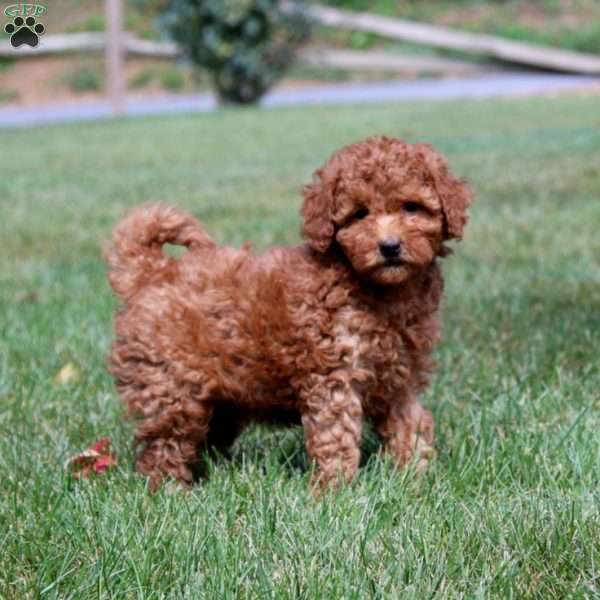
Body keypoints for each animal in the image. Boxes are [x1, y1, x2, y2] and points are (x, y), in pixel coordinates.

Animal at [106, 137, 474, 492]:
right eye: (359, 214)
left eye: (411, 207)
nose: (389, 247)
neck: (382, 292)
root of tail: (152, 272)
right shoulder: (333, 377)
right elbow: (337, 437)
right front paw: (333, 493)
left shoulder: (402, 376)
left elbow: (410, 426)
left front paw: (415, 479)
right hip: (169, 389)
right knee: (162, 447)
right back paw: (169, 493)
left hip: (223, 399)